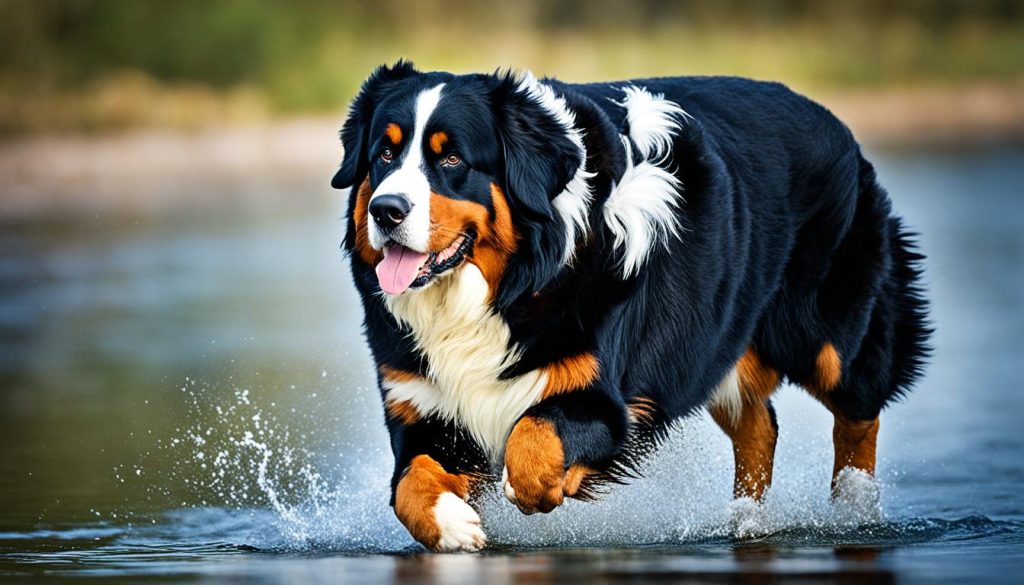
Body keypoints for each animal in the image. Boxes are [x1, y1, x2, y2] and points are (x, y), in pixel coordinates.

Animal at [327, 61, 929, 553]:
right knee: (759, 424)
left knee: (858, 410)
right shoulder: (421, 406)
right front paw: (451, 524)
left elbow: (533, 435)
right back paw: (746, 521)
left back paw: (853, 510)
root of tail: (829, 116)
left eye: (450, 156)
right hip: (714, 346)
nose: (386, 210)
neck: (495, 296)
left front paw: (534, 489)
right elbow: (409, 482)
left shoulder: (600, 397)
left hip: (826, 335)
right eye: (385, 153)